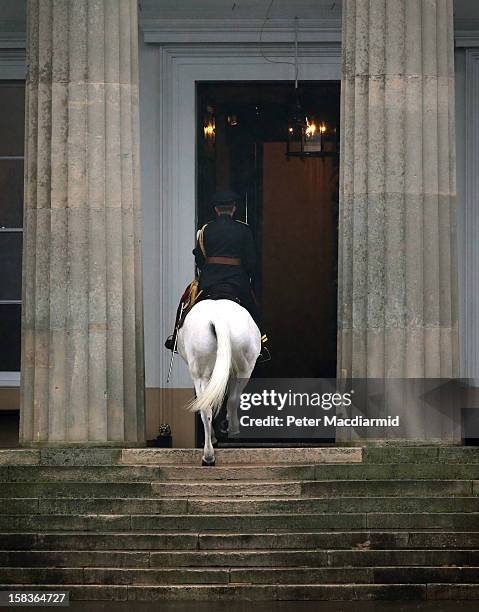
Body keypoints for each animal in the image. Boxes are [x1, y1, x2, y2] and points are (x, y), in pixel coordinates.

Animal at [176, 298, 260, 466]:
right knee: (232, 400)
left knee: (206, 408)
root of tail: (218, 318)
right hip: (244, 371)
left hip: (201, 375)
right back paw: (231, 434)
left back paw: (209, 453)